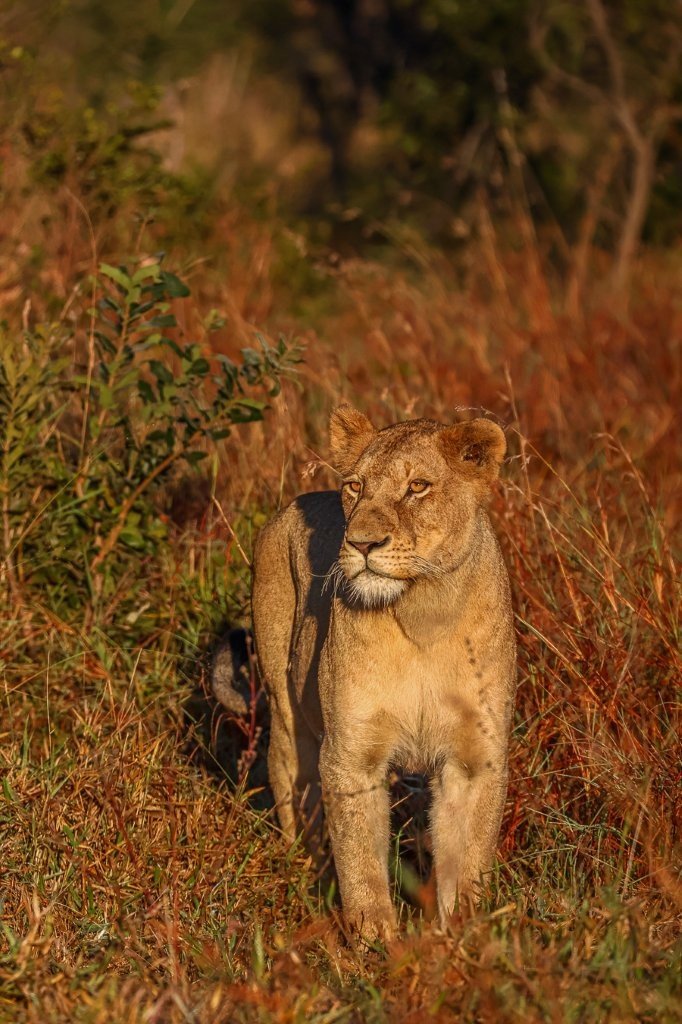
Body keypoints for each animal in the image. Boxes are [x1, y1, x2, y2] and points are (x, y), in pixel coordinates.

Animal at [214, 405, 517, 942]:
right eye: (355, 486)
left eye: (417, 487)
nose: (361, 543)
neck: (422, 613)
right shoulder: (351, 752)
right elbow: (360, 855)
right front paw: (374, 937)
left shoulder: (474, 756)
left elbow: (468, 856)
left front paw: (460, 932)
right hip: (288, 718)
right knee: (294, 786)